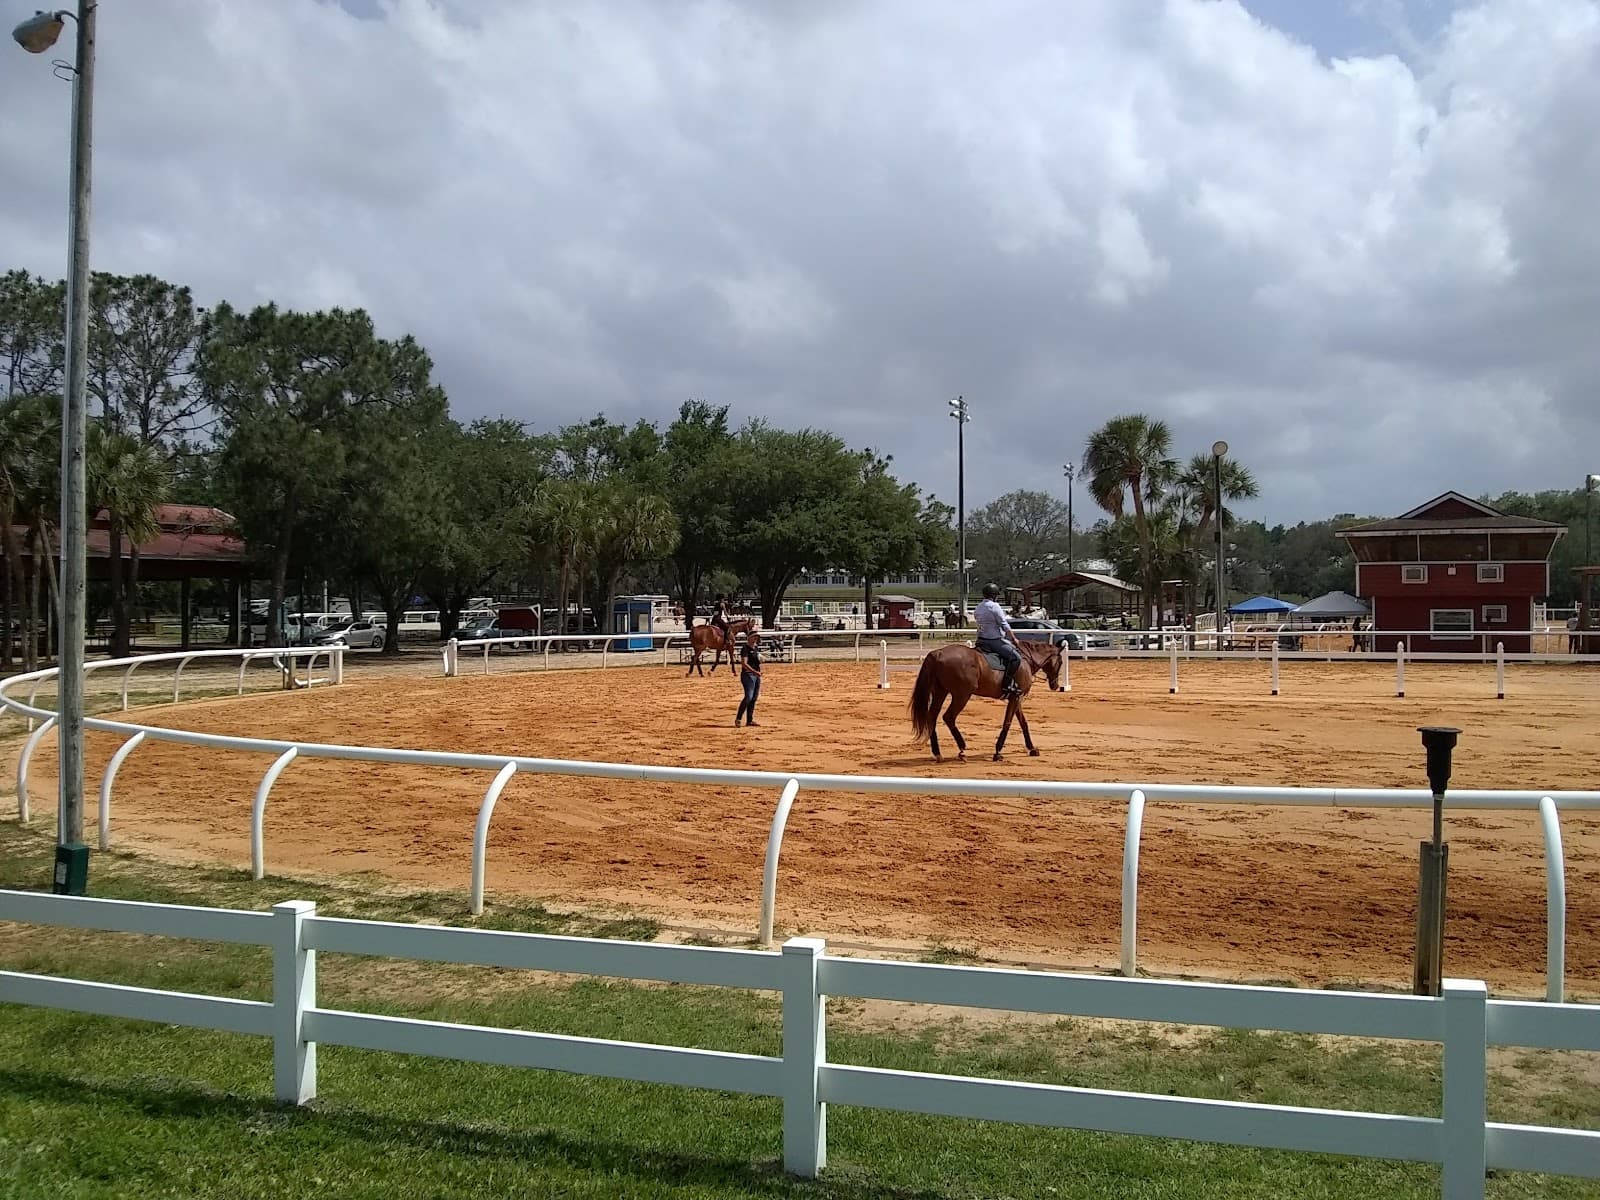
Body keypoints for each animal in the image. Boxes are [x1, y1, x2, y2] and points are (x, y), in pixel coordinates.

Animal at [908, 638, 1063, 762]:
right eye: (1061, 662)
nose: (1055, 685)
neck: (1026, 660)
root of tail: (938, 653)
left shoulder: (1016, 698)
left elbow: (1023, 723)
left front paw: (1032, 748)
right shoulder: (1016, 698)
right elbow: (1007, 722)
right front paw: (998, 752)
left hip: (941, 692)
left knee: (932, 716)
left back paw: (938, 753)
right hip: (961, 695)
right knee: (949, 717)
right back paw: (962, 748)